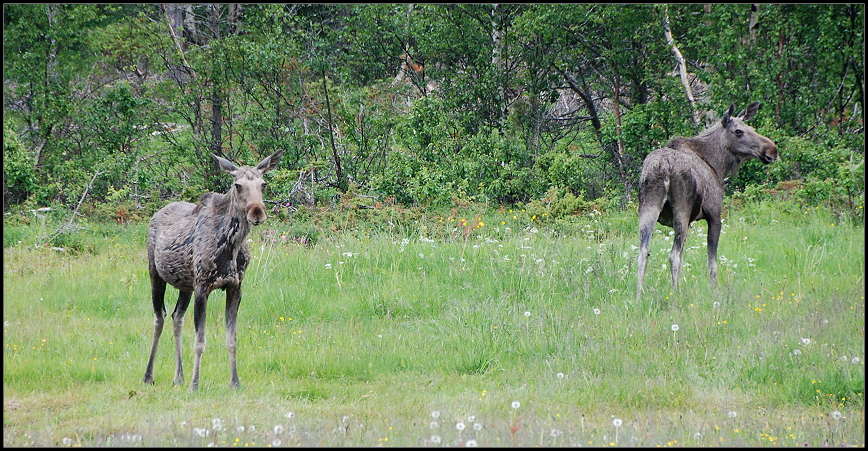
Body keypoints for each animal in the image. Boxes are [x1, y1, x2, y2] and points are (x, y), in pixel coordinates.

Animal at [144, 150, 284, 390]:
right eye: (238, 185)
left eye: (263, 184)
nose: (257, 212)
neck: (231, 246)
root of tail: (157, 213)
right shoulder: (202, 287)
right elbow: (200, 341)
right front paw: (195, 384)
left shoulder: (235, 287)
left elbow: (232, 339)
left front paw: (235, 382)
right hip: (155, 273)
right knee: (159, 317)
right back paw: (149, 375)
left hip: (185, 285)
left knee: (176, 317)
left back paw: (179, 376)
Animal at [636, 100, 780, 302]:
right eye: (738, 131)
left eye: (750, 127)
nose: (771, 150)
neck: (717, 165)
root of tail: (663, 167)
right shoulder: (714, 215)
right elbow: (712, 264)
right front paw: (714, 293)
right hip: (681, 209)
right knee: (673, 255)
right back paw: (675, 294)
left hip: (648, 206)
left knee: (643, 252)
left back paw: (638, 297)